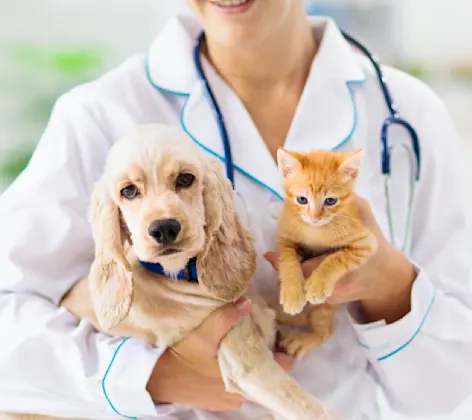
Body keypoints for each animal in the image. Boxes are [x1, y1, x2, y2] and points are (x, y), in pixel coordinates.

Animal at [2, 125, 336, 420]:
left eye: (186, 179)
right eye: (128, 191)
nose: (163, 229)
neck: (184, 276)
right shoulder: (247, 364)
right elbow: (316, 411)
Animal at [274, 147, 378, 358]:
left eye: (330, 201)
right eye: (302, 199)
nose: (315, 218)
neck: (316, 231)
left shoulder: (365, 242)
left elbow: (336, 258)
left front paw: (317, 284)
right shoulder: (286, 238)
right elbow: (287, 261)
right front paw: (292, 294)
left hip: (324, 307)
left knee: (325, 331)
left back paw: (302, 340)